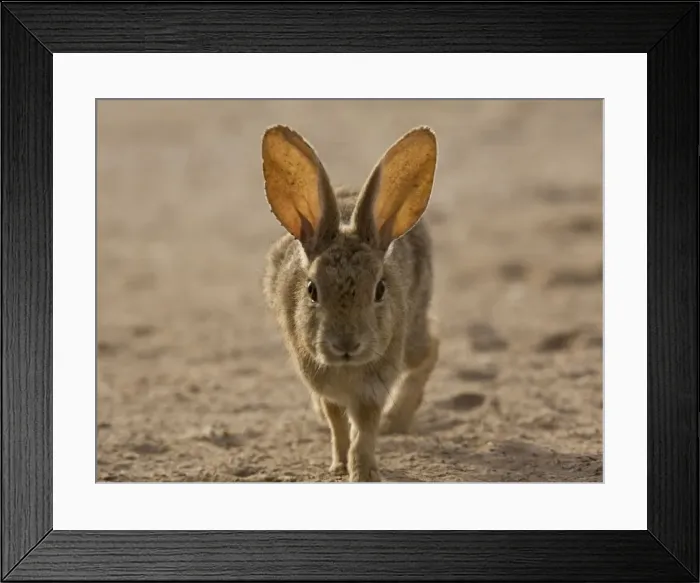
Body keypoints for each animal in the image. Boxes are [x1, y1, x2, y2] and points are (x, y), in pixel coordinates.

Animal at [261, 125, 440, 482]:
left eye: (380, 289)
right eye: (312, 290)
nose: (346, 344)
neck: (346, 368)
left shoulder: (374, 385)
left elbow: (365, 430)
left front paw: (365, 472)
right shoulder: (323, 382)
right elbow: (337, 424)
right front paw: (340, 465)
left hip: (412, 335)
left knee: (430, 348)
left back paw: (396, 419)